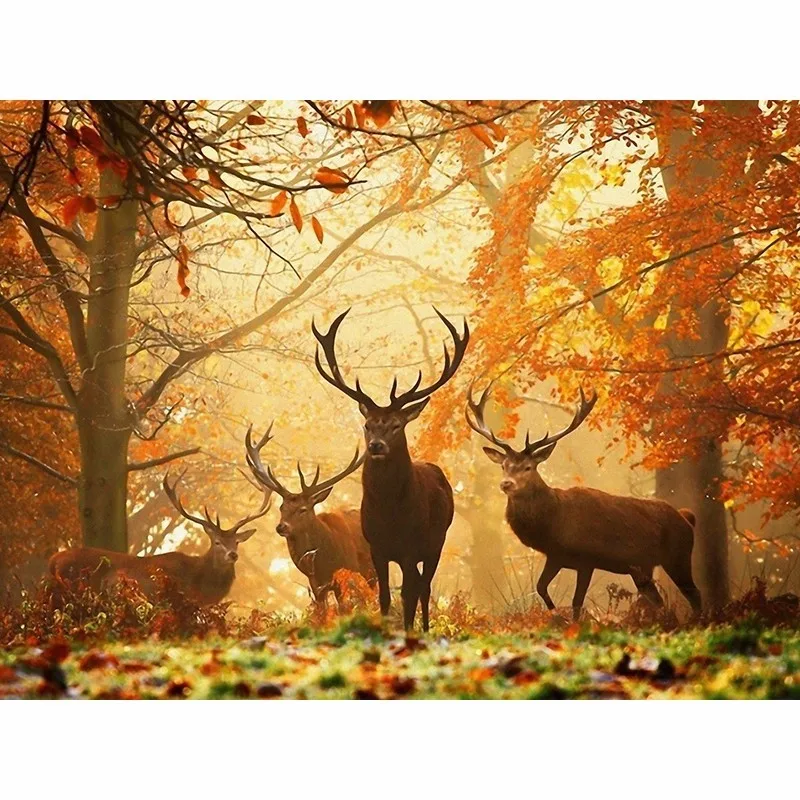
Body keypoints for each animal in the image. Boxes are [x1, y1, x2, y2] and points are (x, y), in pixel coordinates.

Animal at [313, 306, 470, 632]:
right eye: (368, 424)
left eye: (396, 425)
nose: (376, 446)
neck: (390, 514)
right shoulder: (377, 547)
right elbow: (384, 596)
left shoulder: (411, 547)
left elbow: (409, 594)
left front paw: (408, 631)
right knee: (419, 586)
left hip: (436, 541)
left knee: (424, 588)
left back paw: (425, 628)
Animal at [465, 383, 702, 619]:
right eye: (503, 466)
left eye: (528, 467)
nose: (506, 484)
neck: (554, 523)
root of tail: (687, 518)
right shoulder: (556, 556)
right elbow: (541, 587)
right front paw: (555, 614)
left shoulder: (587, 559)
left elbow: (577, 602)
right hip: (643, 568)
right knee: (658, 600)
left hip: (678, 556)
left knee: (695, 595)